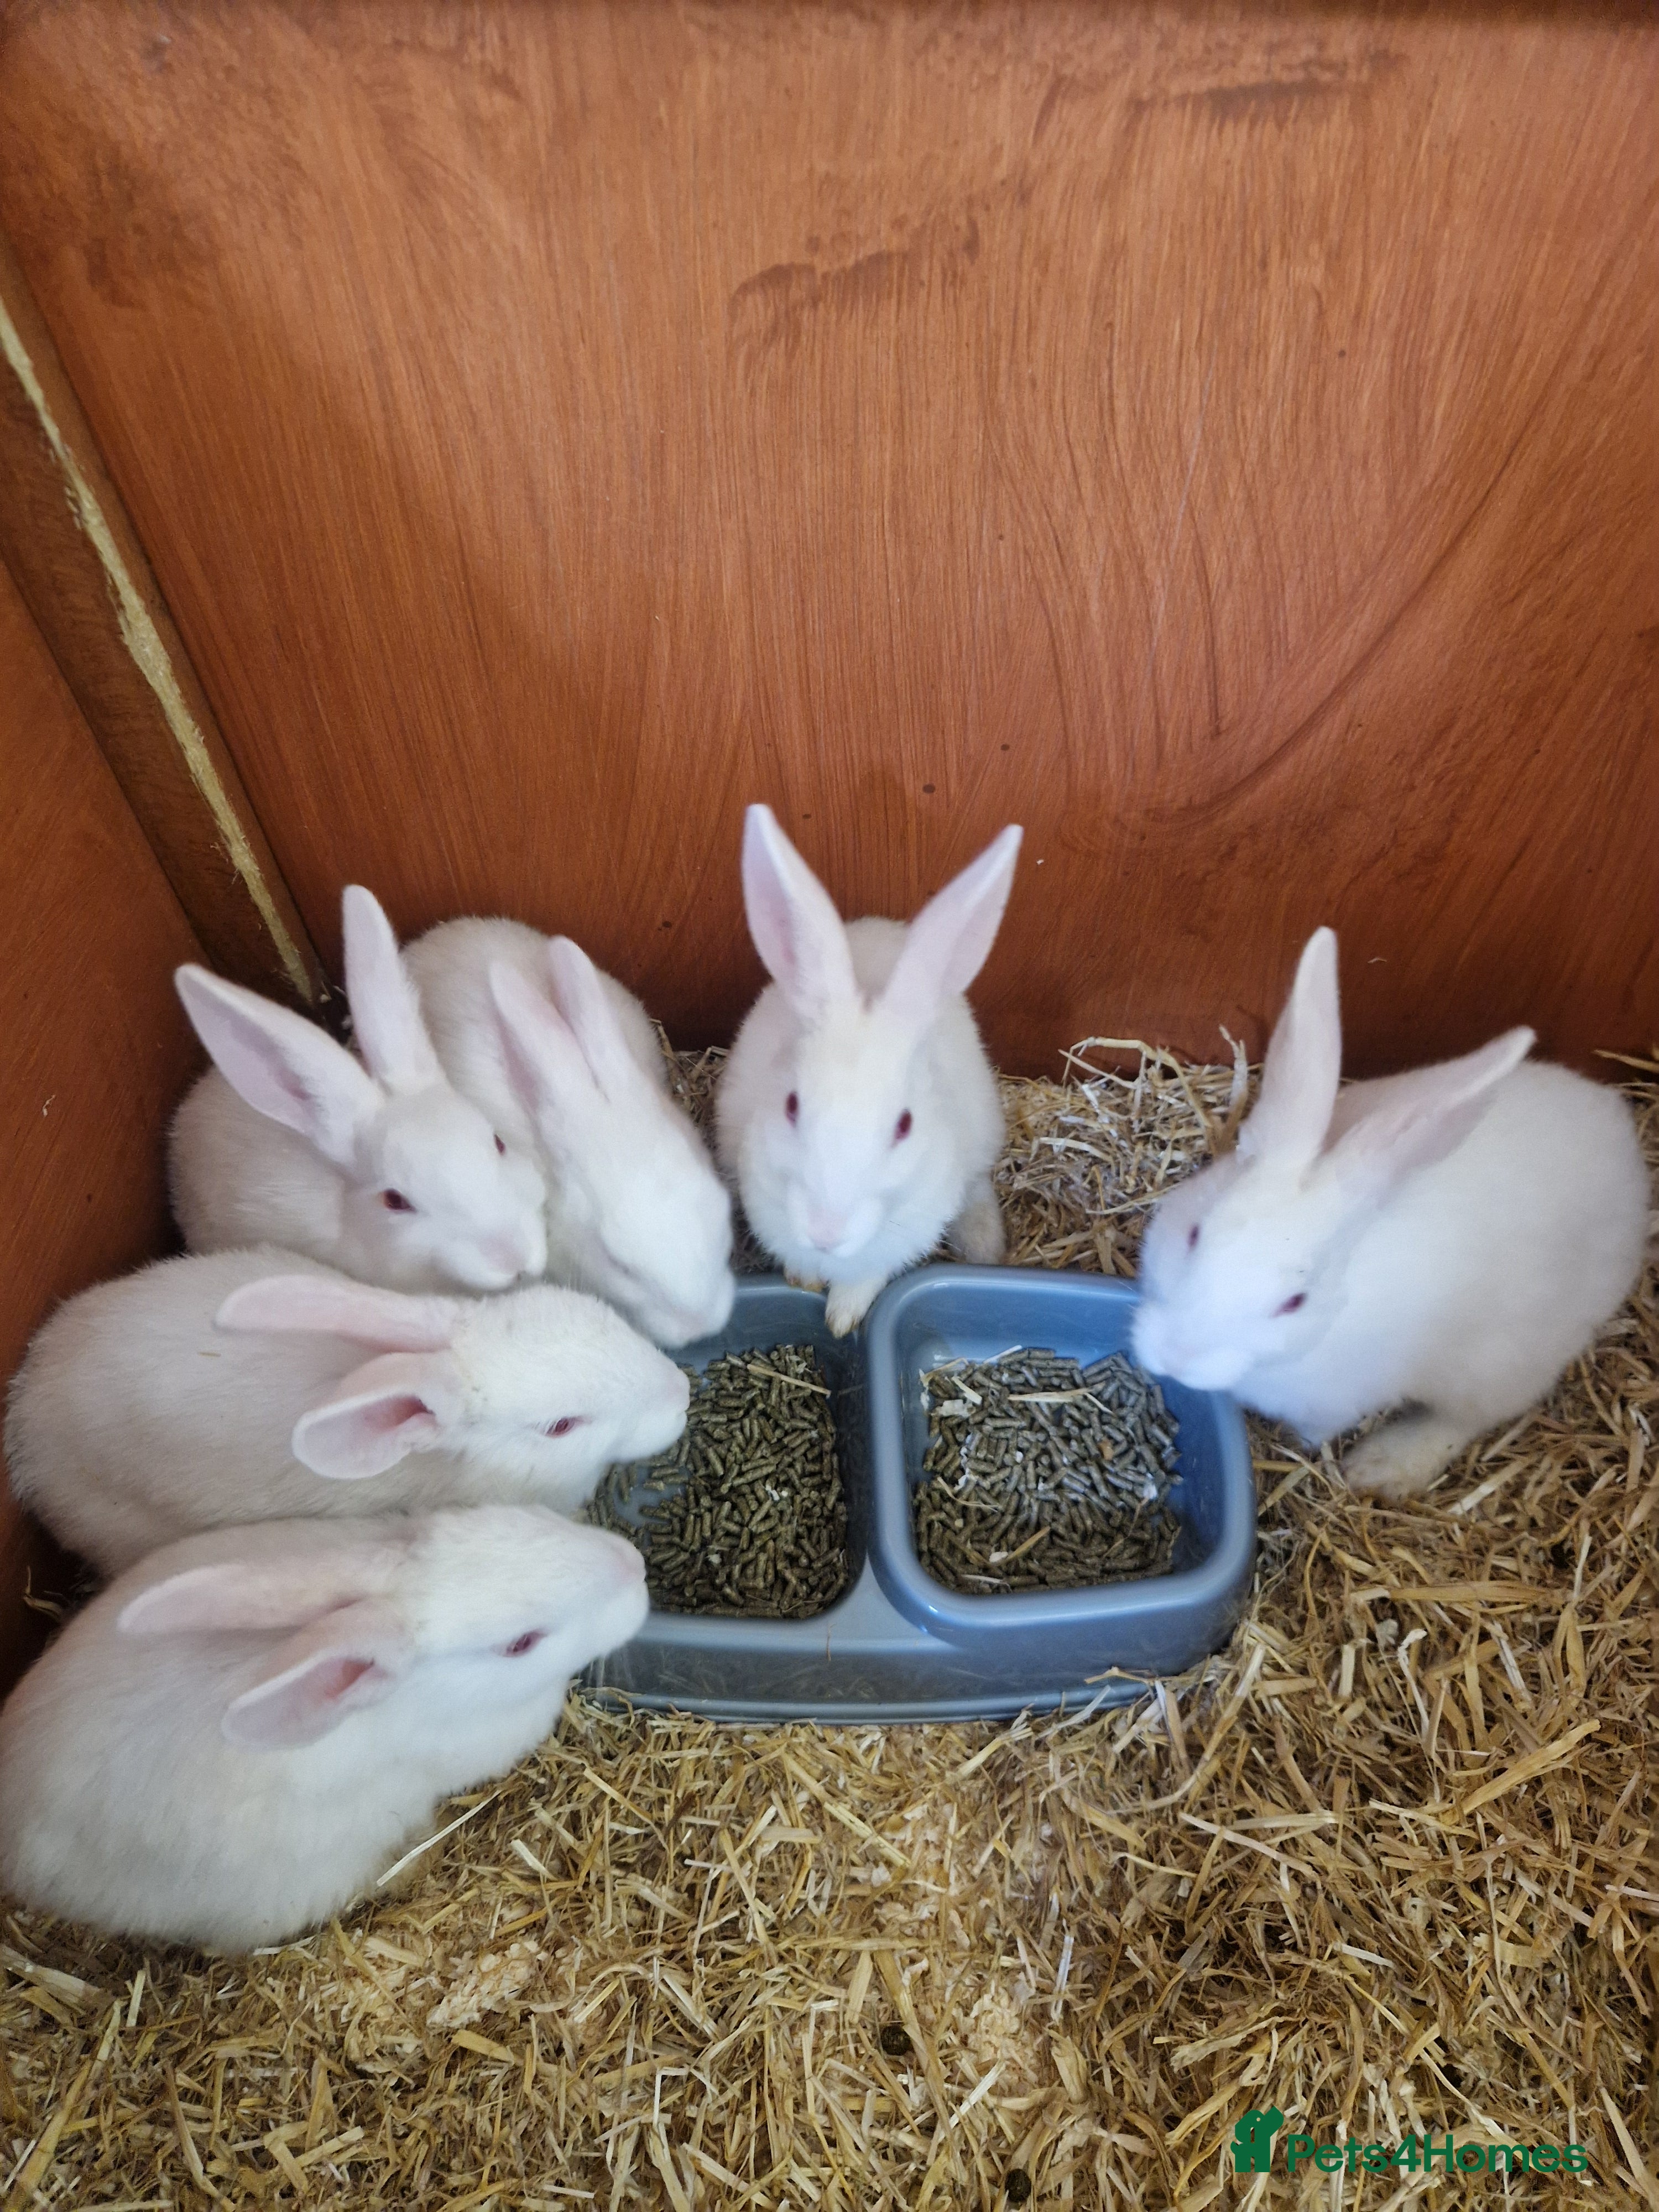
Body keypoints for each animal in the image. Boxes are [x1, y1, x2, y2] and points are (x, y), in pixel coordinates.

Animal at [715, 805, 1023, 1335]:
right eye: (792, 1106)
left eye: (905, 1125)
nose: (825, 1231)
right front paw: (804, 1279)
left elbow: (868, 1277)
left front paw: (842, 1316)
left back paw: (985, 1244)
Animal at [1131, 927, 1650, 1498]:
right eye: (1194, 1235)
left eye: (1294, 1302)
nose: (1176, 1356)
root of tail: (1625, 1144)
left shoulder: (1336, 1401)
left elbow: (1319, 1429)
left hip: (1503, 1366)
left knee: (1465, 1420)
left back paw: (1379, 1467)